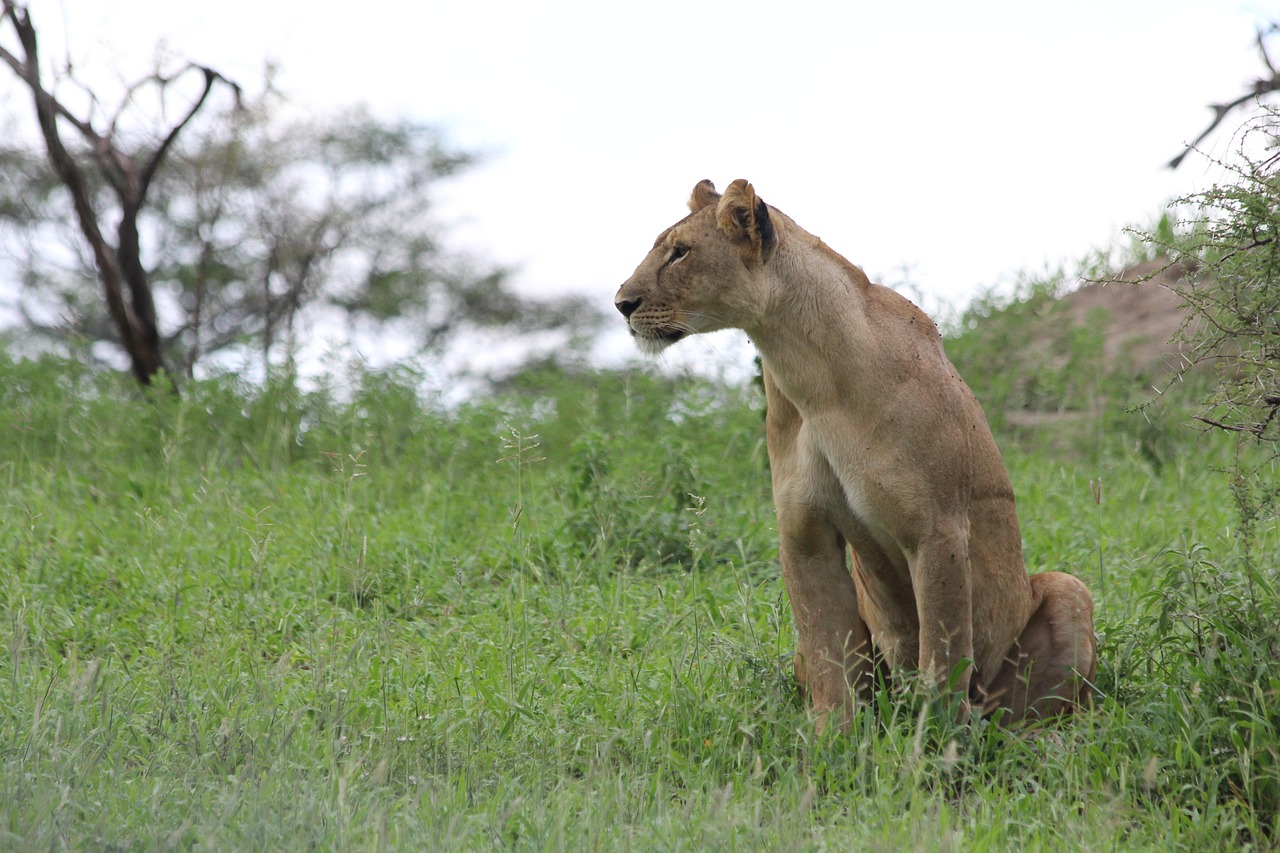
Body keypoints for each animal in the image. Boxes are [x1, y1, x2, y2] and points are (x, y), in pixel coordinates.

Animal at [615, 179, 1097, 730]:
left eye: (680, 252)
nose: (621, 303)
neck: (808, 373)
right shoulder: (804, 532)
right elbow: (829, 655)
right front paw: (831, 742)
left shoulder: (938, 529)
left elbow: (943, 658)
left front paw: (934, 745)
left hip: (1067, 591)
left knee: (1030, 714)